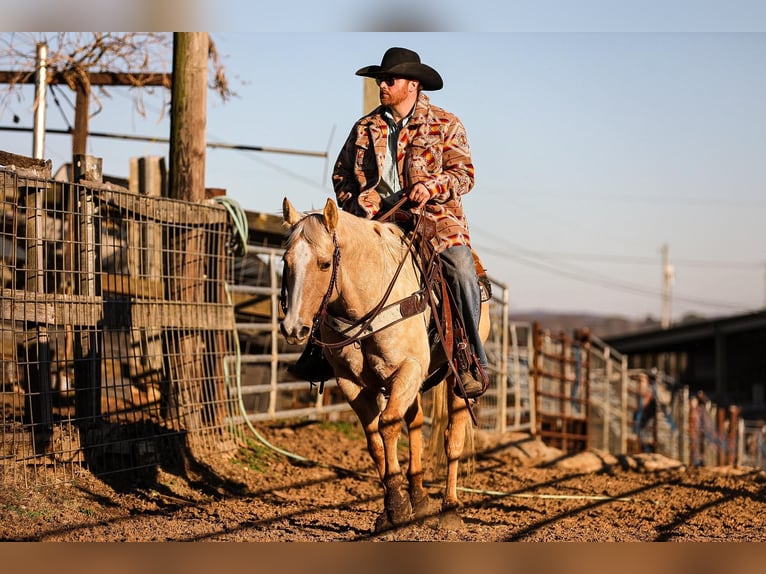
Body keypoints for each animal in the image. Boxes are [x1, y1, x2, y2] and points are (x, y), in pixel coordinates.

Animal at [280, 199, 492, 536]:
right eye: (286, 261)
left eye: (325, 264)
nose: (292, 328)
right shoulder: (351, 383)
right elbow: (374, 440)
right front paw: (393, 509)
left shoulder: (407, 369)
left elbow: (388, 425)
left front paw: (397, 507)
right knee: (416, 423)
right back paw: (419, 497)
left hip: (455, 380)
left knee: (452, 437)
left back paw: (450, 507)